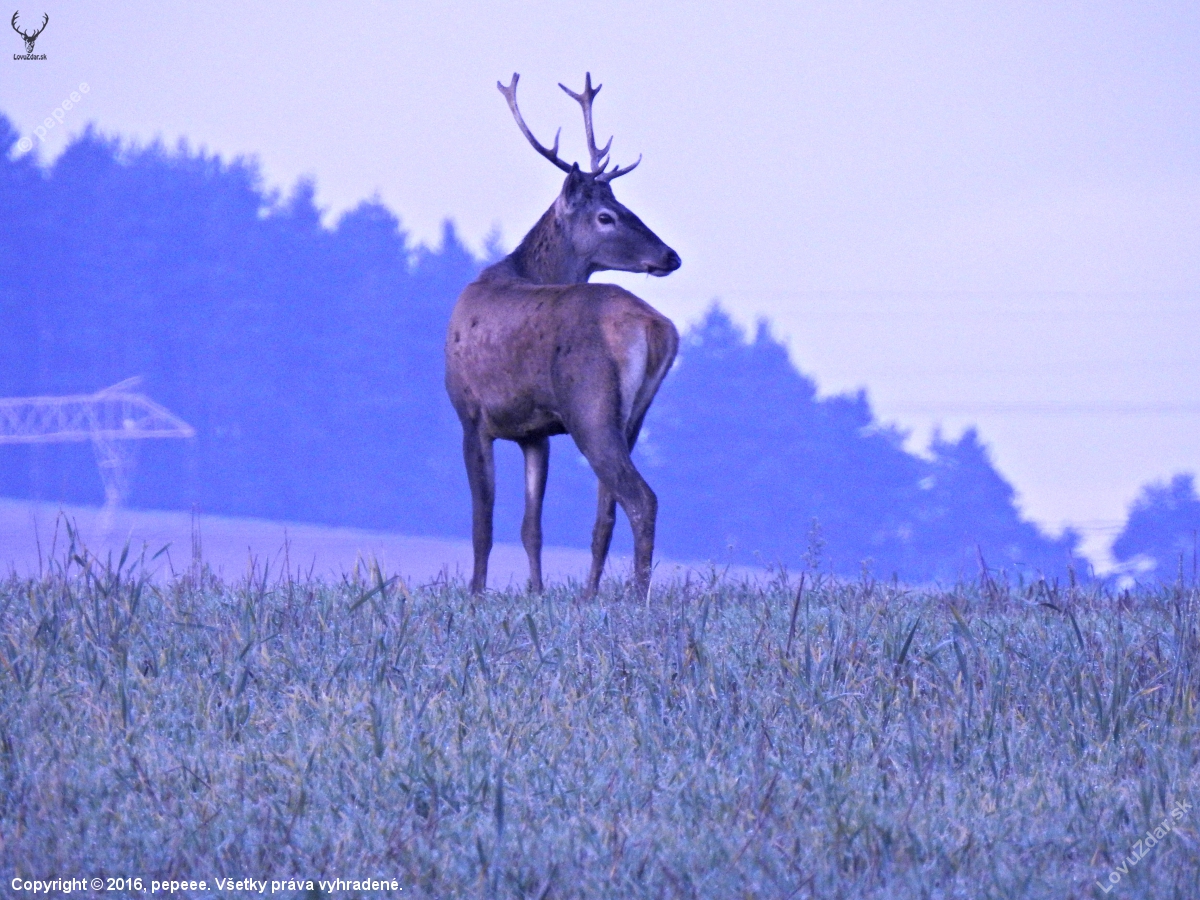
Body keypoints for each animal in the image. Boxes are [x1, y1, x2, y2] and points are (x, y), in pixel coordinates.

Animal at [445, 73, 681, 600]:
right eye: (608, 214)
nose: (671, 256)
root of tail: (655, 327)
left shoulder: (470, 414)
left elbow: (482, 522)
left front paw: (475, 594)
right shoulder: (536, 432)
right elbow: (531, 526)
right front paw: (534, 591)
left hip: (588, 406)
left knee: (642, 499)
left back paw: (638, 598)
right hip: (631, 415)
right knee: (606, 513)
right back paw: (591, 595)